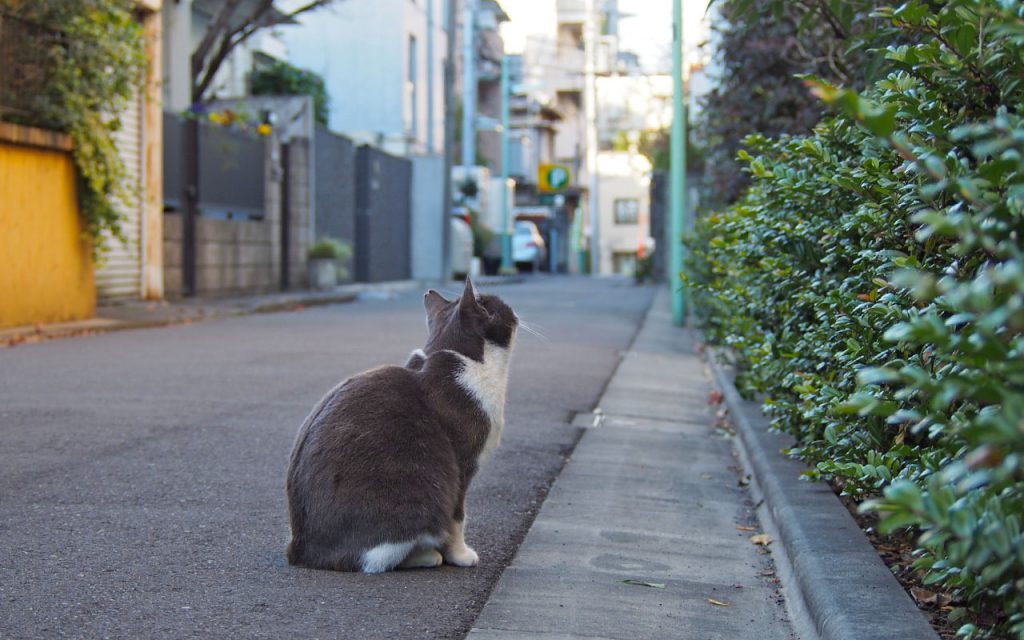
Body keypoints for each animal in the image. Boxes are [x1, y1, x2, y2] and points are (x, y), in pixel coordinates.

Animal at [284, 276, 520, 573]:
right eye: (497, 305)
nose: (515, 311)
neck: (470, 362)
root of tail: (300, 550)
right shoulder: (462, 466)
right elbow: (457, 517)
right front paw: (461, 555)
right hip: (421, 495)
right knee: (375, 559)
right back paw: (427, 556)